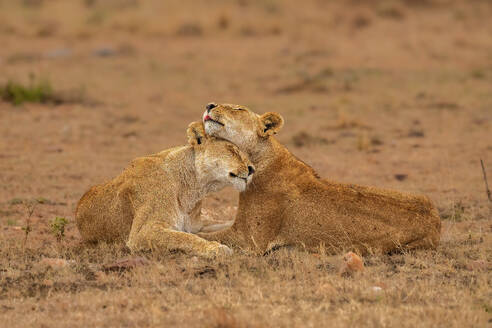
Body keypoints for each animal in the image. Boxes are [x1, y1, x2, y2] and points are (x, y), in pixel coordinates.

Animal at [76, 121, 258, 258]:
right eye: (232, 150)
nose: (252, 169)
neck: (194, 188)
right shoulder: (142, 232)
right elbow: (183, 237)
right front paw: (215, 248)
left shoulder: (196, 225)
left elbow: (221, 225)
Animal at [197, 104, 442, 255]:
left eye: (238, 108)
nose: (209, 105)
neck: (257, 157)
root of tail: (437, 221)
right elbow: (209, 227)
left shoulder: (251, 239)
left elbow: (205, 235)